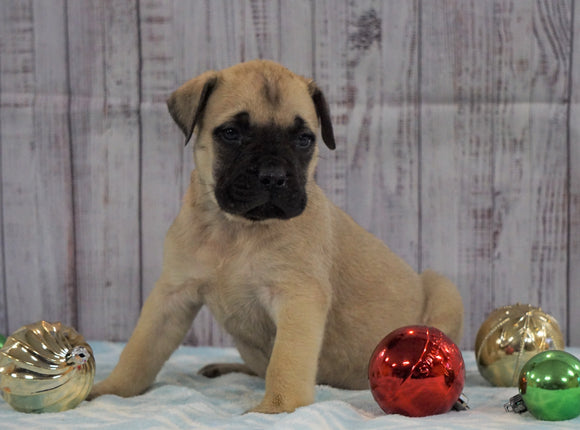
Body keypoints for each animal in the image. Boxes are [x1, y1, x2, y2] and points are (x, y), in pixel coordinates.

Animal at [89, 59, 462, 414]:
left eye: (304, 140)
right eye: (231, 133)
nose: (273, 176)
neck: (236, 229)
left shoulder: (297, 299)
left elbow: (286, 361)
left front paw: (277, 408)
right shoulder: (172, 296)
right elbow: (139, 351)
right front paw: (109, 391)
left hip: (444, 291)